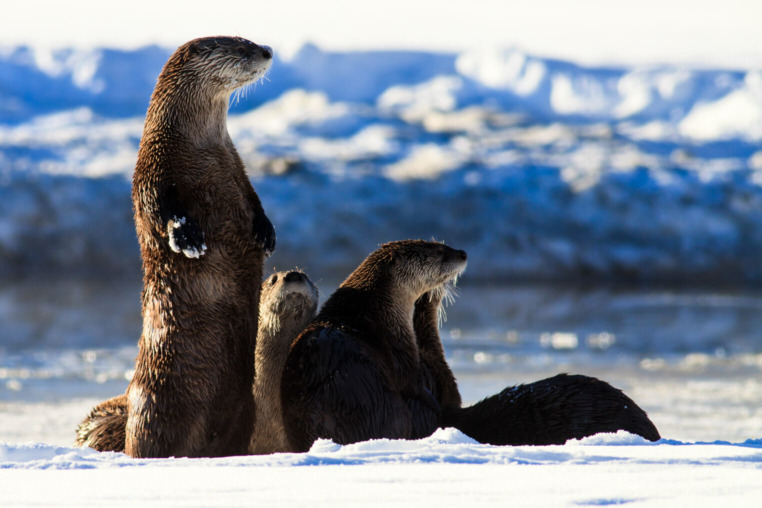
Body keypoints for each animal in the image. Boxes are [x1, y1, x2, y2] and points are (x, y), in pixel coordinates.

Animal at [126, 36, 276, 458]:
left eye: (251, 39)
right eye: (240, 46)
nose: (267, 50)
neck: (198, 146)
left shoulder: (236, 168)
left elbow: (254, 201)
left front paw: (266, 234)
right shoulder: (152, 166)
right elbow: (156, 206)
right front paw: (188, 238)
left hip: (243, 408)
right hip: (153, 406)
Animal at [280, 240, 468, 452]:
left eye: (441, 244)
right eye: (438, 251)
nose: (463, 253)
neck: (379, 308)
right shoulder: (399, 346)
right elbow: (413, 384)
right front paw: (438, 406)